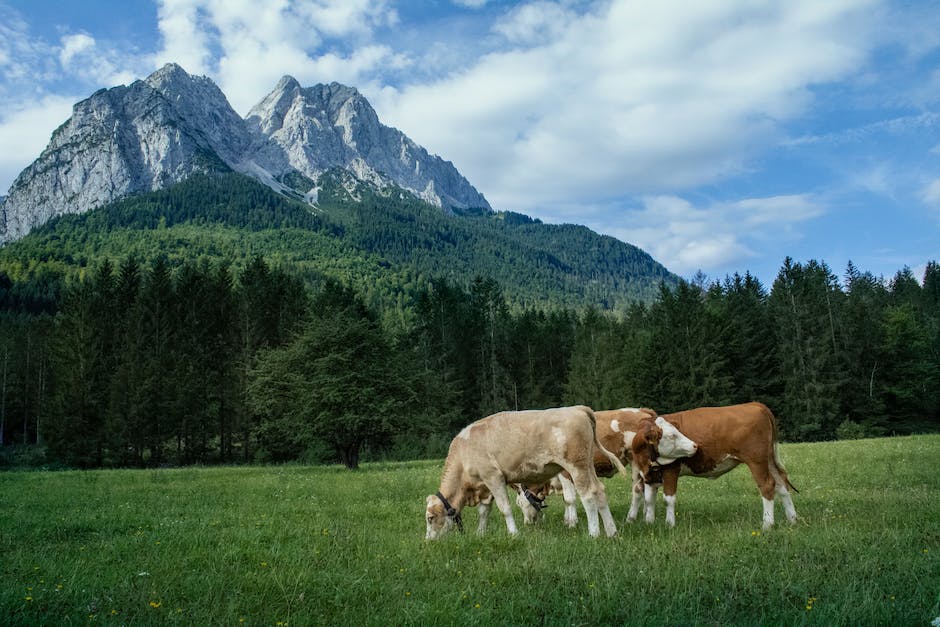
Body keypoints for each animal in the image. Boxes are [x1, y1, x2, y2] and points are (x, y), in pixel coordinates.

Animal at [424, 408, 628, 540]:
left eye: (430, 518)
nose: (428, 541)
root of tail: (577, 408)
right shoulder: (484, 486)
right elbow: (484, 511)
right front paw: (480, 533)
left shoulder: (493, 477)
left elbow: (504, 508)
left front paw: (513, 534)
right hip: (587, 465)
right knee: (599, 491)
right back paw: (612, 532)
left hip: (576, 467)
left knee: (588, 495)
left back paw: (594, 534)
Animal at [516, 410, 696, 528]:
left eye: (518, 503)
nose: (527, 523)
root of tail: (642, 411)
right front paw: (567, 519)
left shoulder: (565, 472)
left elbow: (569, 499)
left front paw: (572, 524)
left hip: (636, 462)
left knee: (638, 490)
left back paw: (631, 518)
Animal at [632, 402, 800, 528]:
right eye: (672, 435)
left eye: (675, 433)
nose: (695, 445)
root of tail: (754, 404)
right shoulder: (648, 475)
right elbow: (649, 499)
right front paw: (649, 523)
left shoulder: (671, 470)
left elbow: (668, 499)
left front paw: (669, 525)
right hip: (769, 459)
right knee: (781, 484)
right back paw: (792, 519)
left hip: (757, 461)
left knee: (767, 485)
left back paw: (767, 524)